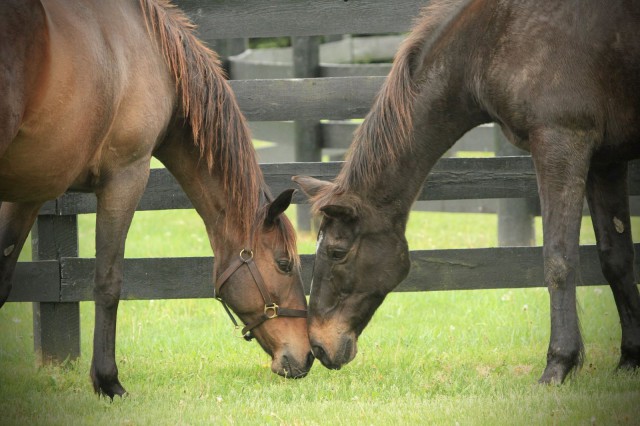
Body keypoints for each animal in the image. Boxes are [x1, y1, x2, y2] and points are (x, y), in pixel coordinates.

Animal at [0, 0, 314, 400]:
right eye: (285, 264)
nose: (307, 356)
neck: (154, 55)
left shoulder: (30, 190)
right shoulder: (126, 177)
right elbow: (108, 281)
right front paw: (108, 381)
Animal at [296, 0, 640, 384]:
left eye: (337, 252)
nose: (318, 345)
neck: (490, 39)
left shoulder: (562, 143)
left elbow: (559, 260)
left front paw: (558, 364)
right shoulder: (606, 161)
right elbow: (616, 260)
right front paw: (630, 358)